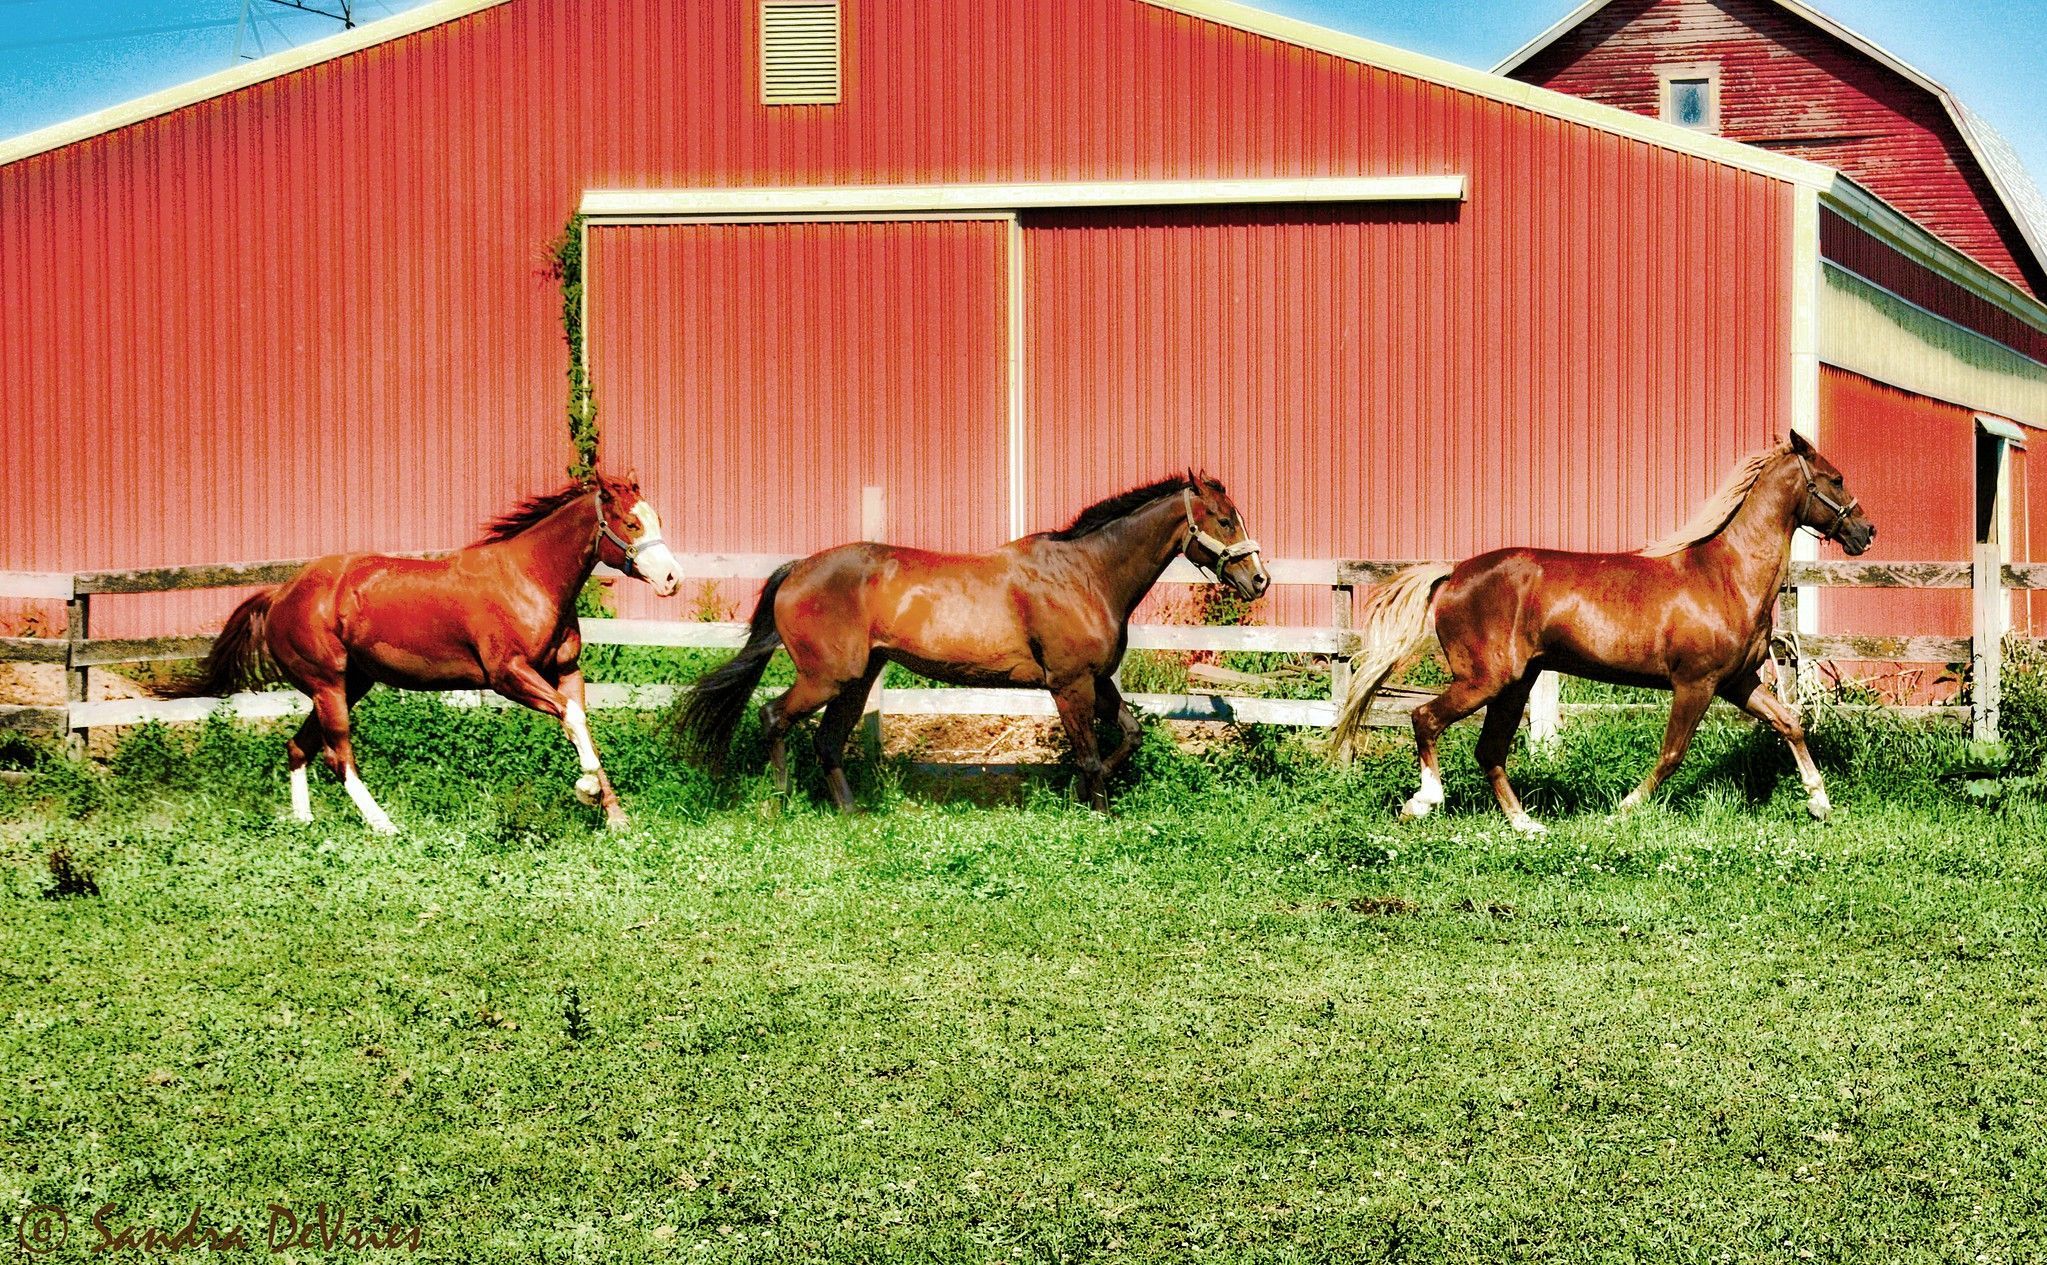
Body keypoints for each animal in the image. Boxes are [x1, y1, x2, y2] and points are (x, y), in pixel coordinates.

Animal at [174, 470, 682, 833]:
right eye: (631, 523)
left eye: (658, 520)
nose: (672, 579)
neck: (529, 579)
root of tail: (280, 594)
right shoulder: (508, 675)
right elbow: (573, 720)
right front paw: (587, 789)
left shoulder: (567, 671)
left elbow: (580, 725)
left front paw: (615, 817)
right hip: (328, 686)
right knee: (339, 756)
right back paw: (383, 825)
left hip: (349, 684)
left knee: (298, 747)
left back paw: (305, 822)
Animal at [677, 472, 1268, 811]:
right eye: (1223, 519)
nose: (1259, 580)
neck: (1085, 574)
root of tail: (796, 569)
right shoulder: (1069, 685)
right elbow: (1091, 756)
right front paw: (1095, 813)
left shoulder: (1097, 682)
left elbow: (1127, 737)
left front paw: (1075, 799)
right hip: (828, 677)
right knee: (773, 717)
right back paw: (778, 804)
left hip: (858, 680)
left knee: (826, 741)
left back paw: (852, 816)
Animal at [1330, 432, 1876, 834]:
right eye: (1835, 478)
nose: (1866, 532)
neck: (1726, 575)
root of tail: (1454, 573)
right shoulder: (1694, 684)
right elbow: (1671, 754)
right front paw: (1624, 808)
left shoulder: (1737, 682)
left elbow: (1790, 723)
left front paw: (1820, 802)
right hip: (1485, 680)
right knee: (1425, 718)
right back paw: (1424, 801)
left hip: (1515, 685)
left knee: (1488, 750)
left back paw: (1528, 826)